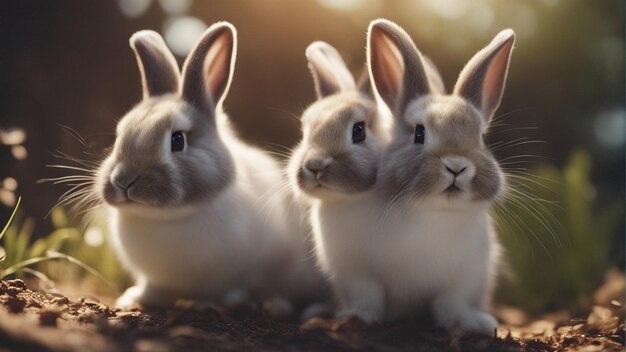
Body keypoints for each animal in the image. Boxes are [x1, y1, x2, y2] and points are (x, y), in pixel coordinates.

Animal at [95, 22, 294, 310]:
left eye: (178, 140)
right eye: (119, 136)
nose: (124, 181)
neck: (167, 218)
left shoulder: (232, 274)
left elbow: (225, 289)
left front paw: (212, 304)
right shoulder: (155, 278)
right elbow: (154, 288)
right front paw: (135, 299)